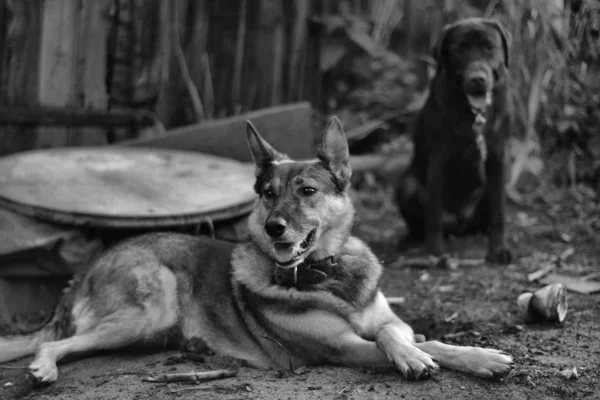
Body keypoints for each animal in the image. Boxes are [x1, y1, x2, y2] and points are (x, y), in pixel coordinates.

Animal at [0, 117, 510, 382]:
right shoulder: (339, 349)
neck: (326, 275)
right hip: (142, 313)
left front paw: (479, 357)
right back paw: (43, 367)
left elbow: (414, 335)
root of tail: (85, 271)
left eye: (307, 191)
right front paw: (414, 359)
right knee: (54, 342)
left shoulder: (393, 320)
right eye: (267, 193)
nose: (274, 227)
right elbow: (390, 345)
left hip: (145, 330)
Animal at [396, 17, 512, 264]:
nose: (477, 79)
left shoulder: (497, 157)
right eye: (459, 50)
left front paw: (498, 250)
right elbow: (433, 214)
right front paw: (435, 252)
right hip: (407, 186)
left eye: (489, 47)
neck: (473, 114)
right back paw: (410, 240)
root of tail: (460, 224)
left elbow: (498, 213)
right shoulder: (438, 159)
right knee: (420, 221)